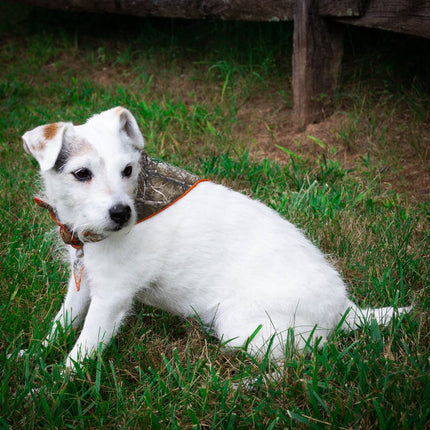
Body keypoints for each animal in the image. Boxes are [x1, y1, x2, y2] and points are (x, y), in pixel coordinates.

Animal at [22, 106, 410, 370]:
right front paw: (29, 355)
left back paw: (248, 384)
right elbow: (60, 325)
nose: (121, 214)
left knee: (291, 366)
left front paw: (49, 388)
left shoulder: (111, 298)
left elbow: (81, 351)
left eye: (128, 170)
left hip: (243, 328)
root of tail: (345, 310)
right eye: (81, 174)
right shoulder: (83, 282)